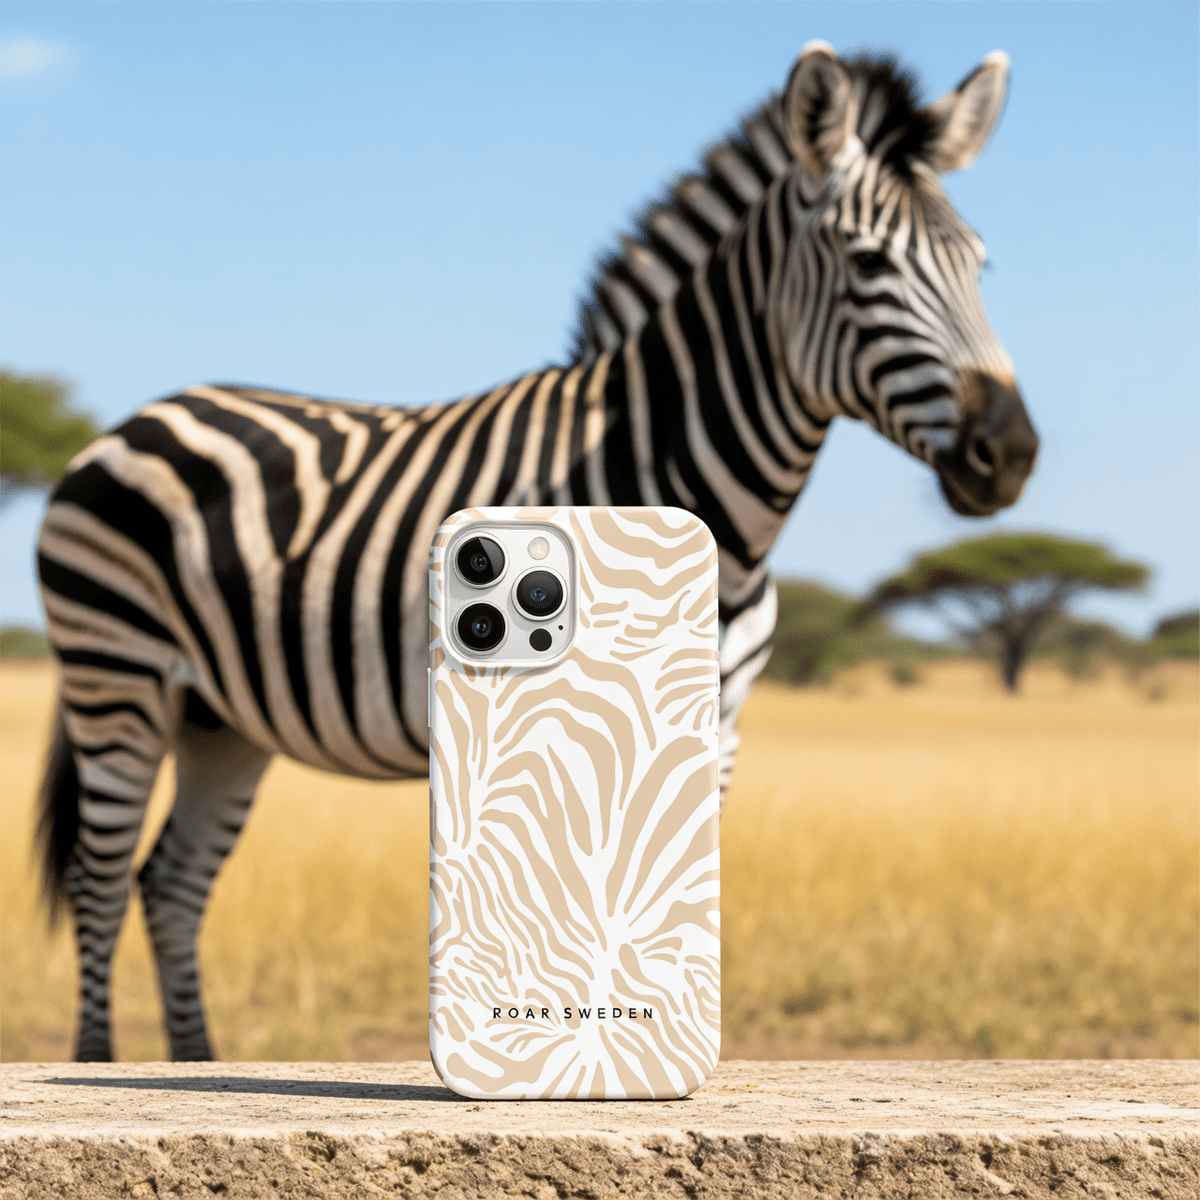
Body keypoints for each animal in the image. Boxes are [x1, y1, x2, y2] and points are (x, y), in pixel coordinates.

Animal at [37, 43, 1038, 1062]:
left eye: (981, 266)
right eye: (868, 261)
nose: (1011, 454)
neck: (717, 528)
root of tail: (135, 417)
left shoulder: (720, 726)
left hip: (223, 717)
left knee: (170, 883)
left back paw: (196, 1065)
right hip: (116, 671)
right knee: (101, 880)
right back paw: (96, 1066)